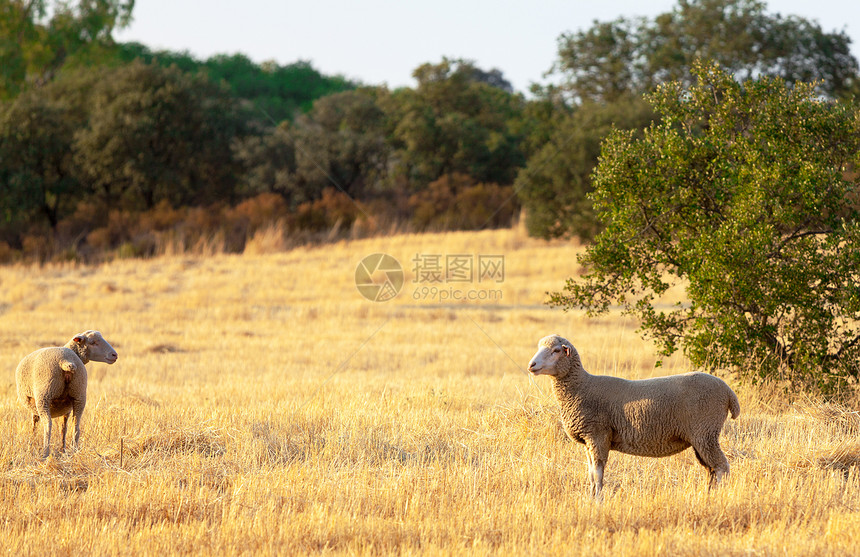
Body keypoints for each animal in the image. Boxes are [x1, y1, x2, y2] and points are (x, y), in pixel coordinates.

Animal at [524, 332, 740, 498]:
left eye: (556, 350)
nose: (531, 365)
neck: (581, 387)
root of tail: (729, 393)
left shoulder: (598, 435)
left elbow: (598, 474)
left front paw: (597, 500)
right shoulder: (588, 440)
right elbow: (591, 473)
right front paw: (590, 497)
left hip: (705, 431)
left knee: (722, 467)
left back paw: (721, 496)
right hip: (700, 437)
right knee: (711, 469)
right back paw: (709, 495)